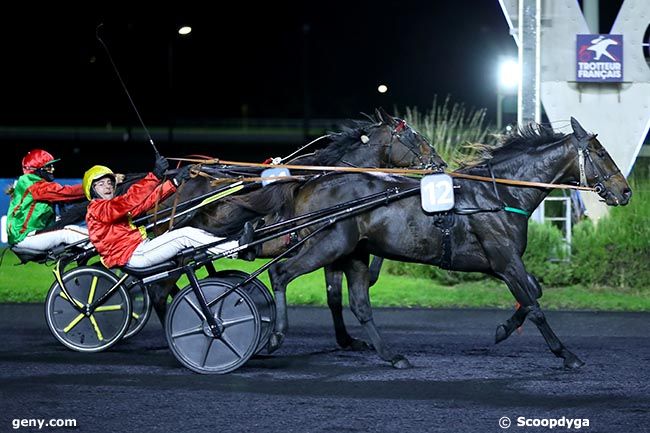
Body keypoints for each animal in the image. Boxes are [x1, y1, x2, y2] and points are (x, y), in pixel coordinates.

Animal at [218, 118, 628, 368]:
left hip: (353, 251)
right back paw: (274, 337)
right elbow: (535, 304)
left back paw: (391, 355)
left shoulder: (498, 263)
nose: (625, 191)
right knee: (282, 275)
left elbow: (534, 294)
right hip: (328, 244)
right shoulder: (504, 258)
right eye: (601, 154)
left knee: (359, 303)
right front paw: (566, 353)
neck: (497, 194)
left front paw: (503, 329)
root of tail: (310, 182)